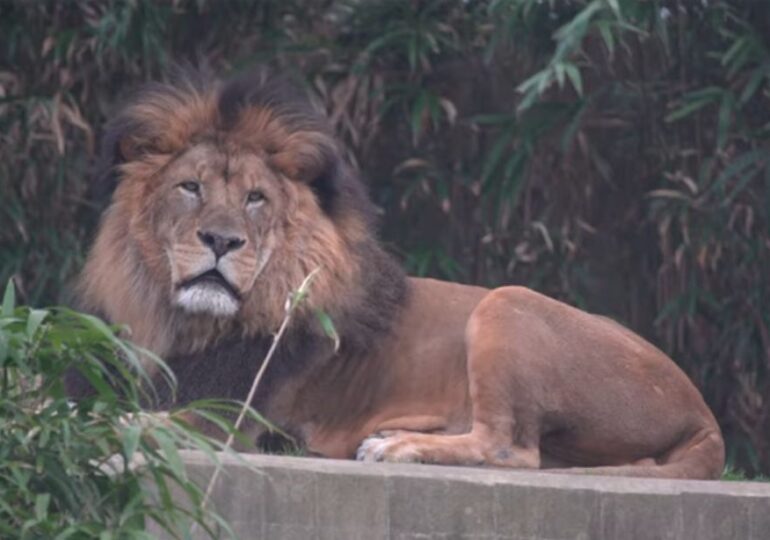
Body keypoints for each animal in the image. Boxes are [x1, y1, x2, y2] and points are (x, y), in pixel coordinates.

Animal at [70, 69, 720, 478]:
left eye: (256, 199)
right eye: (190, 188)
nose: (222, 240)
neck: (187, 323)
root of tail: (703, 413)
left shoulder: (234, 419)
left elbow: (144, 418)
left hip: (507, 303)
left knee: (510, 450)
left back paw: (397, 446)